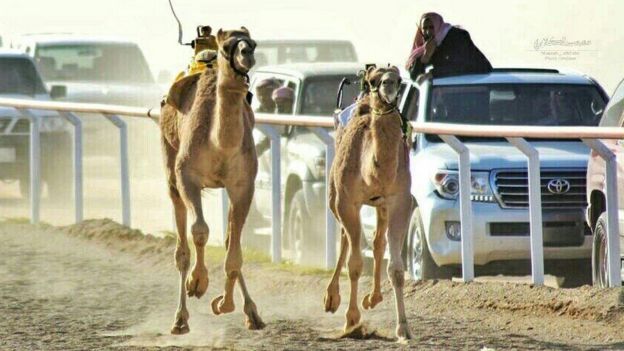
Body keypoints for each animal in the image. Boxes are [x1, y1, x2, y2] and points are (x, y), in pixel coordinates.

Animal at [158, 26, 264, 336]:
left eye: (253, 43)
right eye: (227, 45)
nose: (246, 54)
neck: (219, 144)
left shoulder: (243, 185)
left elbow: (234, 247)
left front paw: (226, 305)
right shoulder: (187, 176)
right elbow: (200, 231)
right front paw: (197, 283)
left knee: (229, 239)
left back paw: (252, 313)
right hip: (170, 165)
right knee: (181, 245)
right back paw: (180, 319)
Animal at [322, 66, 414, 340]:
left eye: (399, 79)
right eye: (375, 80)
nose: (388, 85)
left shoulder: (400, 201)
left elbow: (396, 269)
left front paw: (403, 328)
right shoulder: (346, 202)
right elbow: (354, 264)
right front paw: (352, 321)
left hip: (381, 207)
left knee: (377, 242)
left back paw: (373, 298)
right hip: (334, 199)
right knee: (345, 238)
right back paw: (331, 298)